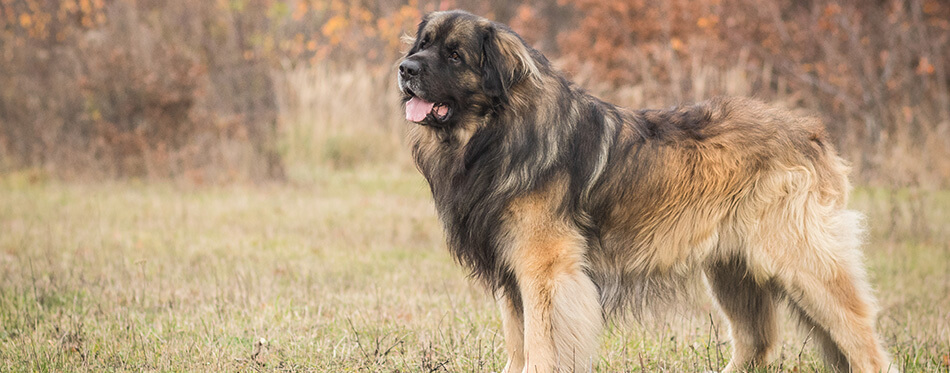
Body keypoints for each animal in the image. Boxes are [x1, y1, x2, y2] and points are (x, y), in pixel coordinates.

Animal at [398, 10, 896, 370]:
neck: (492, 134)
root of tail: (811, 133)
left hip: (804, 264)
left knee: (860, 338)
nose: (404, 69)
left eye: (455, 55)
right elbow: (518, 343)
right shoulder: (512, 272)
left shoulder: (546, 271)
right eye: (424, 45)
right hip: (733, 270)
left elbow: (540, 346)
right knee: (756, 342)